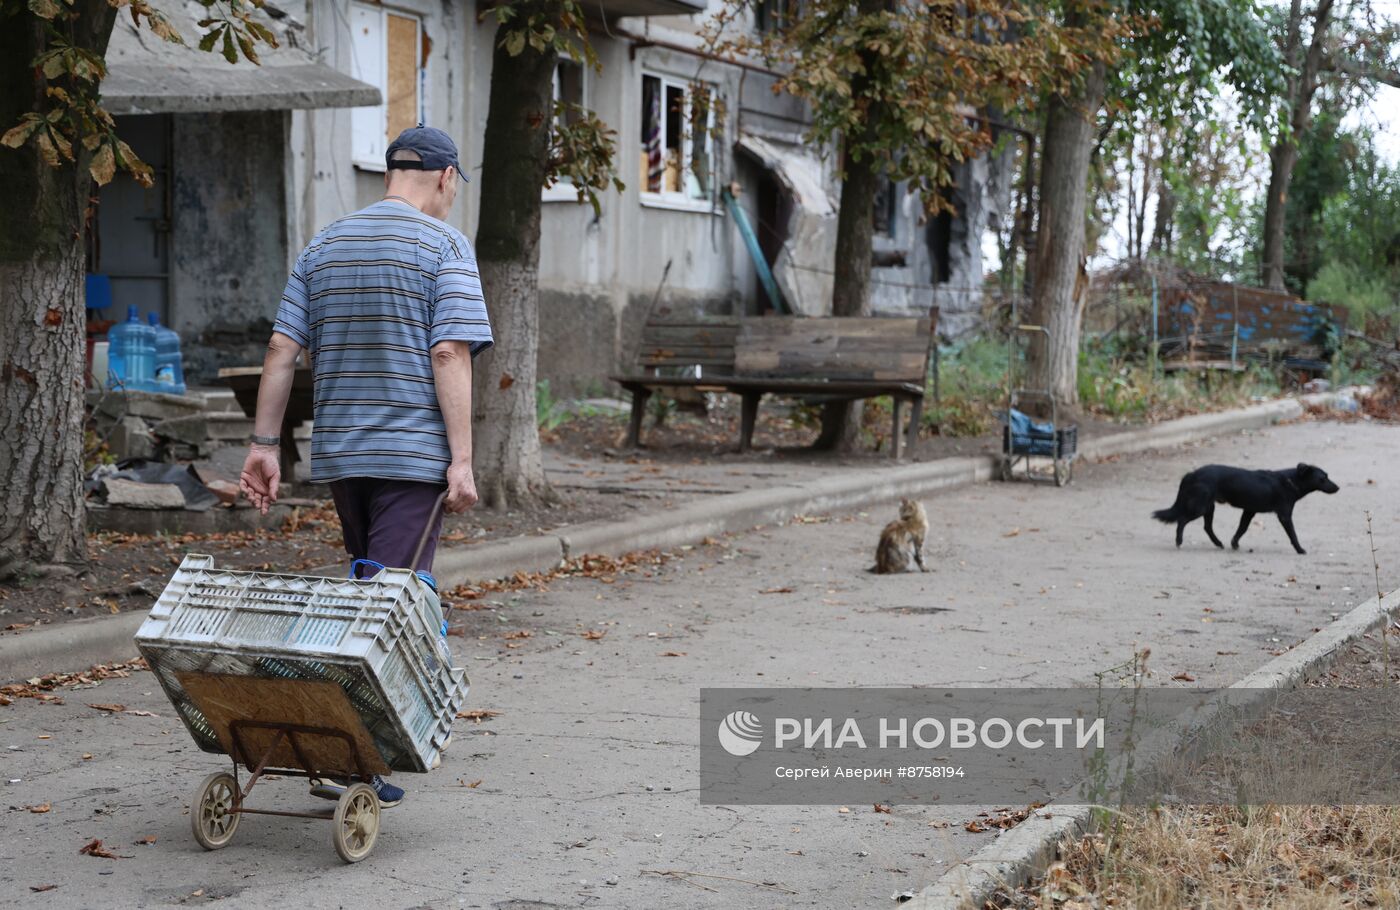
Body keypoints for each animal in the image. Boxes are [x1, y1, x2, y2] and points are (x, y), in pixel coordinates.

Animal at [1153, 462, 1338, 551]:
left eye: (1327, 476)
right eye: (1323, 478)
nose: (1338, 487)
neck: (1290, 481)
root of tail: (1192, 474)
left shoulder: (1249, 511)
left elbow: (1241, 529)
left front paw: (1234, 544)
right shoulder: (1284, 515)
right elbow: (1293, 535)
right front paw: (1300, 549)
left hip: (1209, 507)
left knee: (1207, 527)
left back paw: (1218, 543)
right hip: (1200, 506)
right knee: (1182, 519)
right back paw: (1179, 541)